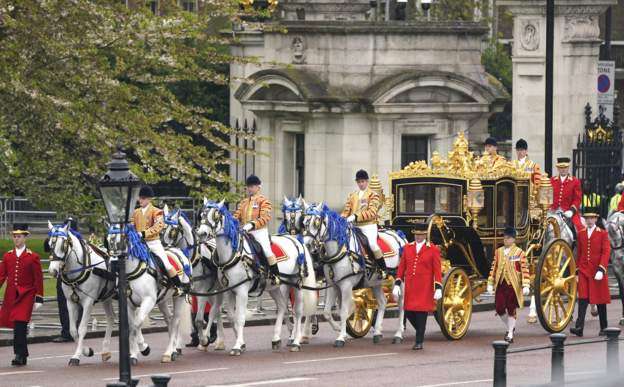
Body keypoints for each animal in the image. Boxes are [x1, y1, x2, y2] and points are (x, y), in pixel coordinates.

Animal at [47, 221, 116, 366]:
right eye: (49, 244)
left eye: (64, 244)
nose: (52, 271)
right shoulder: (71, 302)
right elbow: (73, 330)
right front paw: (86, 351)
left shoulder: (88, 302)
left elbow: (82, 328)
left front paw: (77, 356)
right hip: (106, 297)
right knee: (111, 318)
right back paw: (105, 351)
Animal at [106, 224, 191, 364]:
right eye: (107, 241)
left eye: (121, 240)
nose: (113, 265)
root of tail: (178, 251)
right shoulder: (129, 304)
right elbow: (132, 326)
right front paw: (134, 355)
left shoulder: (148, 301)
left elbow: (137, 323)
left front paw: (144, 348)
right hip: (162, 300)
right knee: (169, 320)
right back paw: (172, 351)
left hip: (179, 297)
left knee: (175, 321)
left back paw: (168, 353)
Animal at [161, 206, 224, 352]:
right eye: (161, 230)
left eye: (173, 231)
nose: (164, 250)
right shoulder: (186, 292)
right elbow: (180, 319)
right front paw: (176, 346)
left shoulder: (201, 291)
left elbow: (199, 320)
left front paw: (204, 339)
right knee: (216, 311)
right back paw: (217, 341)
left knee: (215, 310)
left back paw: (213, 339)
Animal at [197, 200, 316, 354]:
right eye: (201, 214)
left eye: (216, 216)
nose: (202, 233)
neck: (234, 254)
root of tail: (296, 241)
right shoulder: (230, 291)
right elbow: (231, 316)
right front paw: (241, 343)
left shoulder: (242, 291)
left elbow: (240, 318)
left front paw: (237, 346)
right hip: (274, 287)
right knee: (282, 306)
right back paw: (276, 338)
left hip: (297, 284)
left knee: (298, 311)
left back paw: (296, 341)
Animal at [302, 203, 408, 346]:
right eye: (304, 222)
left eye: (316, 222)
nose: (307, 245)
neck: (340, 251)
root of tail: (399, 235)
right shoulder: (333, 285)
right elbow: (327, 312)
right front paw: (339, 329)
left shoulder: (346, 286)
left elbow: (343, 311)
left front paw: (341, 337)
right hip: (375, 283)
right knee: (382, 302)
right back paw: (377, 333)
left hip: (398, 280)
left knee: (401, 303)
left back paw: (398, 334)